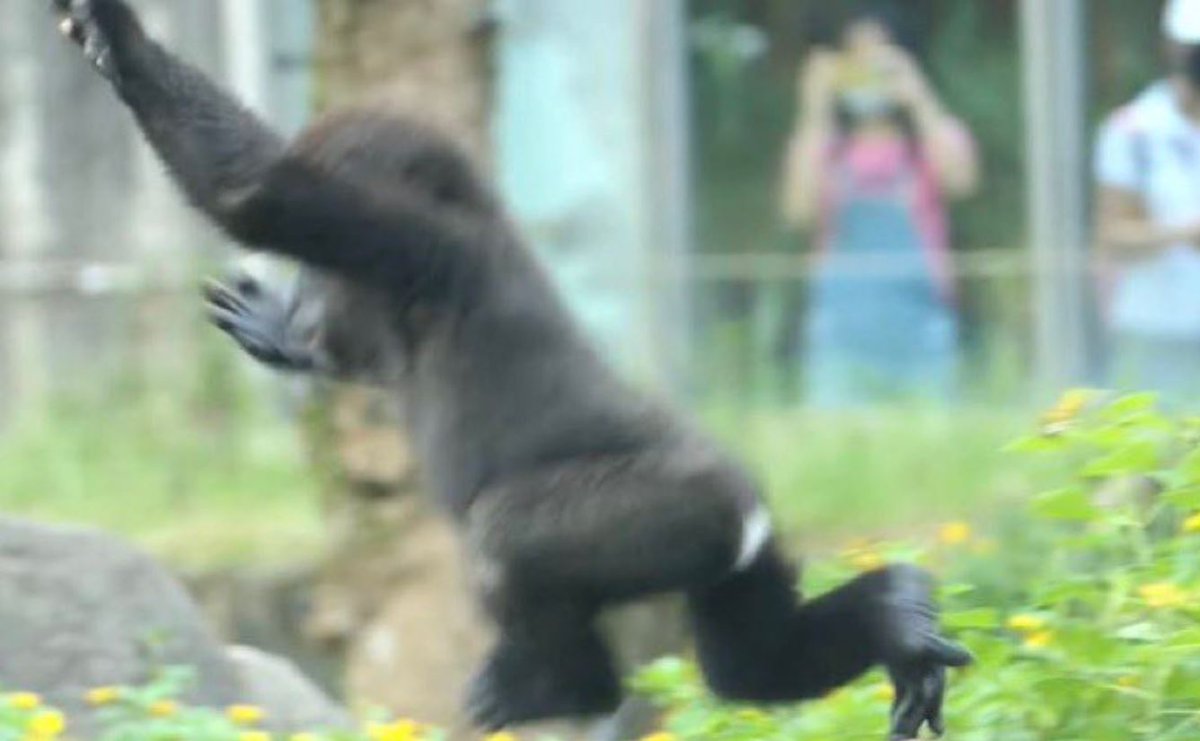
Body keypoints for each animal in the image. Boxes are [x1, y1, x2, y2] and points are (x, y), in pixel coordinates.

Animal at [51, 1, 972, 738]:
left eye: (319, 270)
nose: (307, 299)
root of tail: (744, 504)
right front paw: (283, 332)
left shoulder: (401, 239)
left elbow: (254, 193)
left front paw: (124, 42)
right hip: (734, 544)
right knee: (753, 663)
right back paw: (895, 613)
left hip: (681, 508)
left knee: (508, 535)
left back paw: (569, 685)